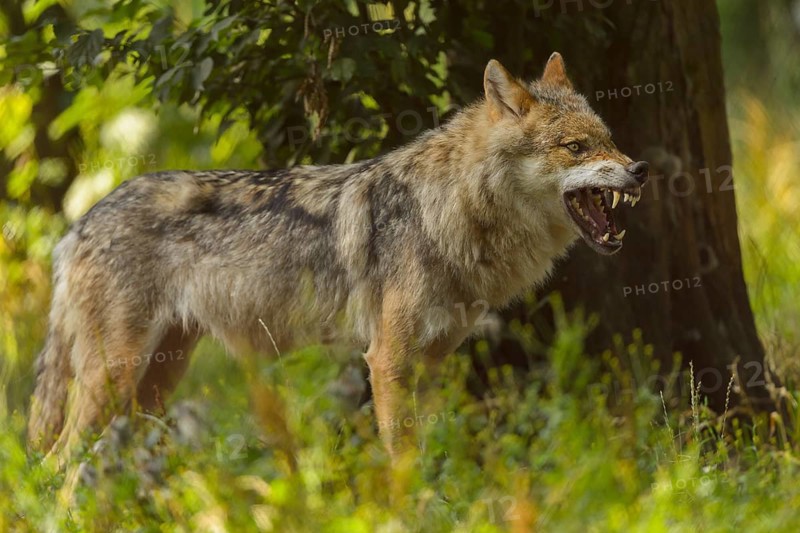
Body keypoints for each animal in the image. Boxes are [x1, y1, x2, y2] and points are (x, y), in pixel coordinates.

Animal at [28, 53, 648, 465]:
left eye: (609, 139)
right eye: (575, 148)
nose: (640, 169)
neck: (445, 209)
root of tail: (78, 223)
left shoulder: (431, 364)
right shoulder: (388, 360)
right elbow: (403, 459)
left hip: (153, 386)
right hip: (115, 377)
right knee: (60, 462)